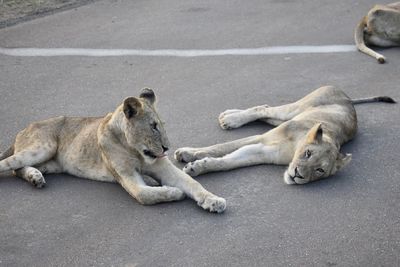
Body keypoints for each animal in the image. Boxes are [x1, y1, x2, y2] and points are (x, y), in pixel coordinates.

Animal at [0, 89, 225, 215]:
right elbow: (144, 194)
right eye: (153, 126)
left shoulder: (163, 168)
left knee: (18, 170)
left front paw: (213, 201)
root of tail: (24, 129)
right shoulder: (126, 175)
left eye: (161, 125)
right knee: (9, 165)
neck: (135, 150)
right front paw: (174, 192)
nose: (167, 148)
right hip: (42, 148)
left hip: (49, 163)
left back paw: (35, 177)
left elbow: (193, 183)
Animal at [175, 87, 394, 185]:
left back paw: (228, 116)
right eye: (307, 153)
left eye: (320, 170)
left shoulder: (261, 152)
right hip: (293, 110)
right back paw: (230, 118)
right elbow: (221, 147)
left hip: (284, 117)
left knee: (263, 110)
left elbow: (226, 162)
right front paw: (187, 154)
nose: (297, 175)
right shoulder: (261, 139)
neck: (294, 149)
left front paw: (197, 167)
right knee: (263, 109)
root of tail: (348, 98)